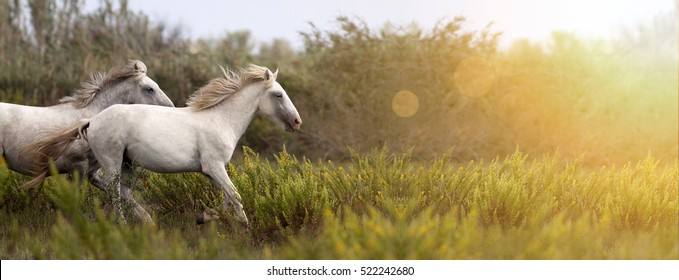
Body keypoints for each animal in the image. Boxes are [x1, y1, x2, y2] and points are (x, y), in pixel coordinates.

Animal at [29, 64, 300, 224]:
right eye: (278, 94)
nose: (296, 122)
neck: (220, 119)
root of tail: (92, 120)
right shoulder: (214, 167)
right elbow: (235, 196)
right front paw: (244, 227)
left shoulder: (212, 171)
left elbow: (227, 199)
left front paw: (206, 217)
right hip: (113, 162)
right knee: (115, 193)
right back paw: (122, 225)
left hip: (121, 163)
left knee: (114, 188)